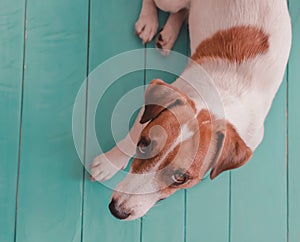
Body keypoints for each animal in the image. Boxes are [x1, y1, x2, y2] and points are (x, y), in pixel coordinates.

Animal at [91, 0, 290, 221]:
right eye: (143, 144)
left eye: (180, 178)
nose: (116, 210)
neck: (216, 105)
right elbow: (131, 136)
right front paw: (109, 163)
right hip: (169, 3)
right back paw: (148, 21)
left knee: (184, 11)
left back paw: (168, 34)